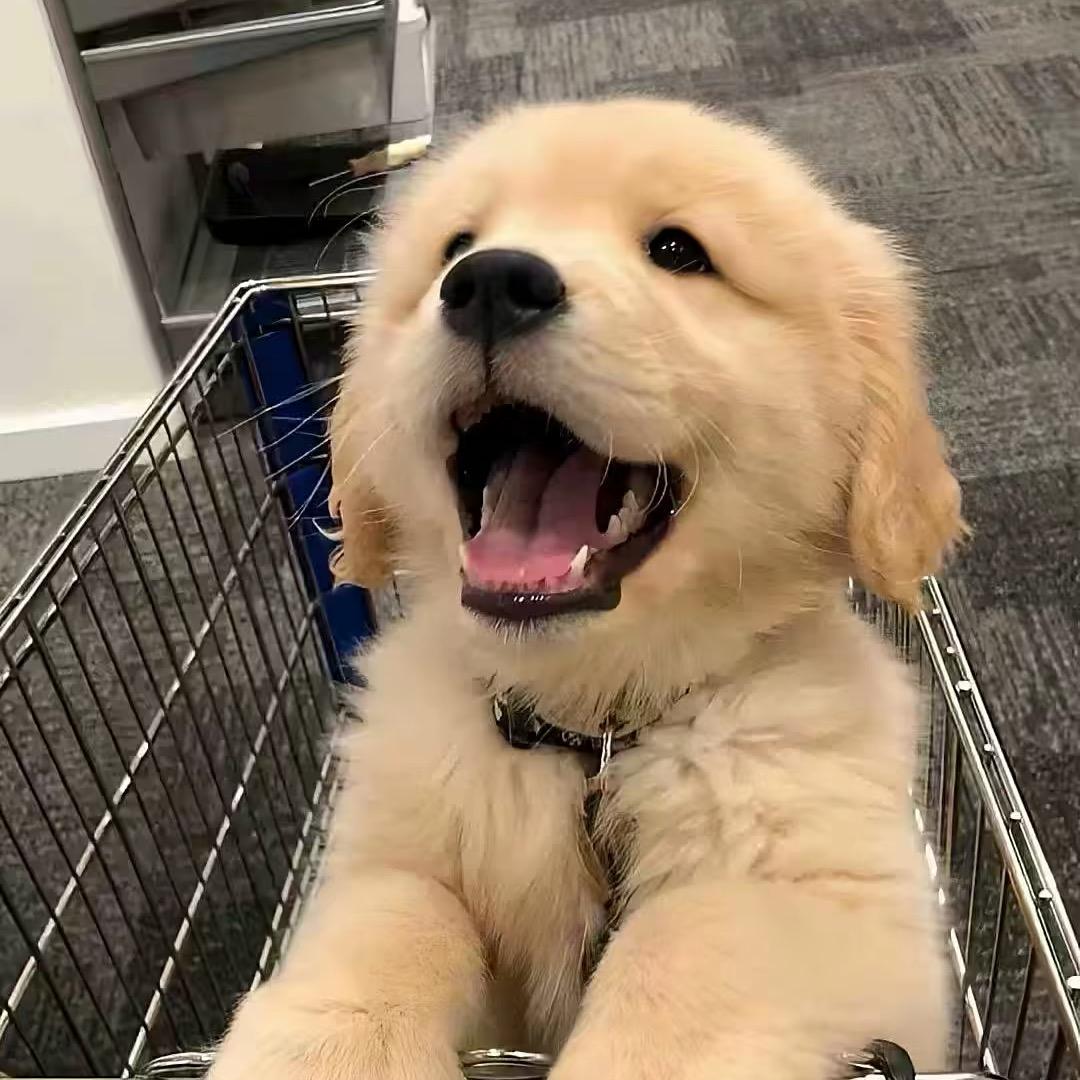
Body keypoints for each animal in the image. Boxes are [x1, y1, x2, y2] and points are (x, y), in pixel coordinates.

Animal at [211, 99, 964, 1080]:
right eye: (457, 244)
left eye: (679, 251)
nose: (491, 281)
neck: (588, 734)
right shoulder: (389, 846)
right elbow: (396, 913)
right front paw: (326, 1049)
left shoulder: (836, 906)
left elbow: (688, 950)